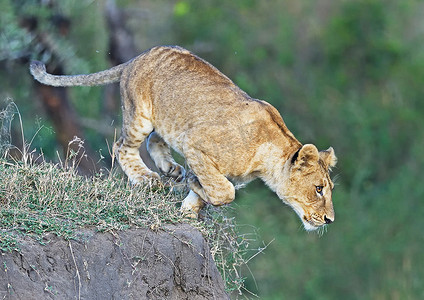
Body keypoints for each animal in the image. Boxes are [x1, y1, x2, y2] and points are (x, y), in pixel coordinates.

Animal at [29, 45, 336, 232]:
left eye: (327, 188)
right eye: (319, 189)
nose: (330, 220)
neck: (267, 159)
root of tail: (136, 57)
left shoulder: (208, 161)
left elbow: (211, 194)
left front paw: (188, 209)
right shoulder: (196, 146)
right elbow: (224, 192)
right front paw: (192, 185)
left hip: (167, 119)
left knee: (155, 139)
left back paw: (171, 169)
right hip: (140, 116)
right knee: (122, 146)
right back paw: (146, 178)